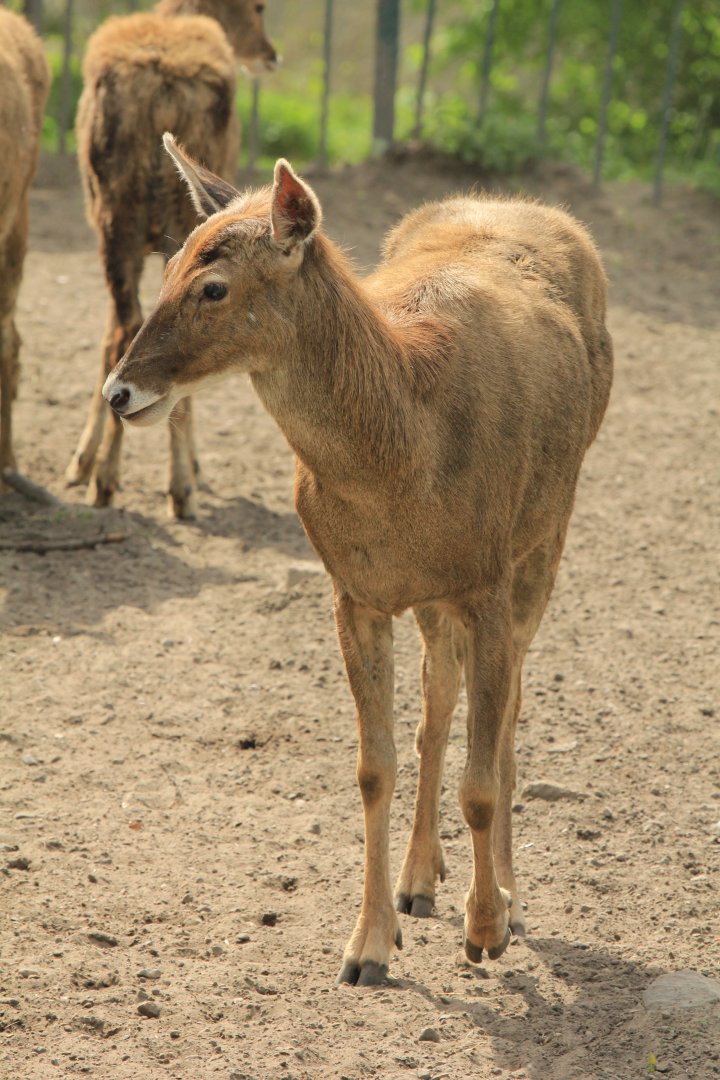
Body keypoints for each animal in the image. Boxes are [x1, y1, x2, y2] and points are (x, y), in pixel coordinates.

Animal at [65, 0, 277, 518]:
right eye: (260, 6)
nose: (271, 54)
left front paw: (82, 461)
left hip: (116, 220)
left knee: (124, 327)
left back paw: (107, 478)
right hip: (164, 218)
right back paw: (178, 485)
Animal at [103, 135, 613, 985]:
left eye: (213, 286)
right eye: (168, 260)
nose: (118, 391)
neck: (407, 459)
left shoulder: (486, 577)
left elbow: (484, 772)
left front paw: (488, 927)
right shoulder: (355, 590)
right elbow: (374, 767)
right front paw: (369, 946)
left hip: (547, 530)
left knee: (505, 712)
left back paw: (504, 899)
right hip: (441, 596)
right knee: (438, 703)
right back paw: (419, 881)